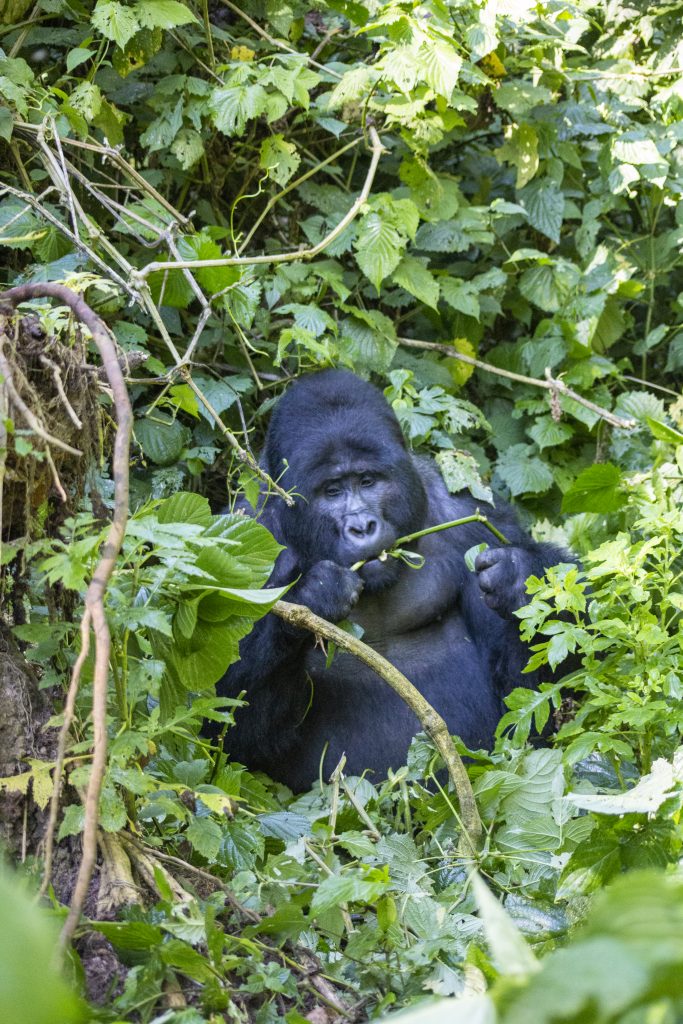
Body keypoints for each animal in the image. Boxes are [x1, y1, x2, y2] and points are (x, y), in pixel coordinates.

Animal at [216, 370, 569, 790]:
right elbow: (229, 731)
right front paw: (314, 596)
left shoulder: (472, 511)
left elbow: (522, 705)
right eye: (333, 491)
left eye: (368, 481)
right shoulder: (242, 535)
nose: (362, 526)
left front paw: (517, 578)